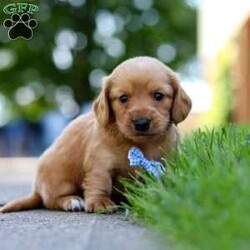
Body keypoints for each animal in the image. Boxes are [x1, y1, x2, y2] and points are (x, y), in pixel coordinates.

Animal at [0, 56, 191, 213]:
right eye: (123, 98)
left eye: (159, 96)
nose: (141, 123)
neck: (141, 144)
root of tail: (36, 191)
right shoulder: (100, 163)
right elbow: (101, 183)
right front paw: (100, 202)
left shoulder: (167, 162)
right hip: (58, 176)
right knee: (52, 200)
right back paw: (72, 201)